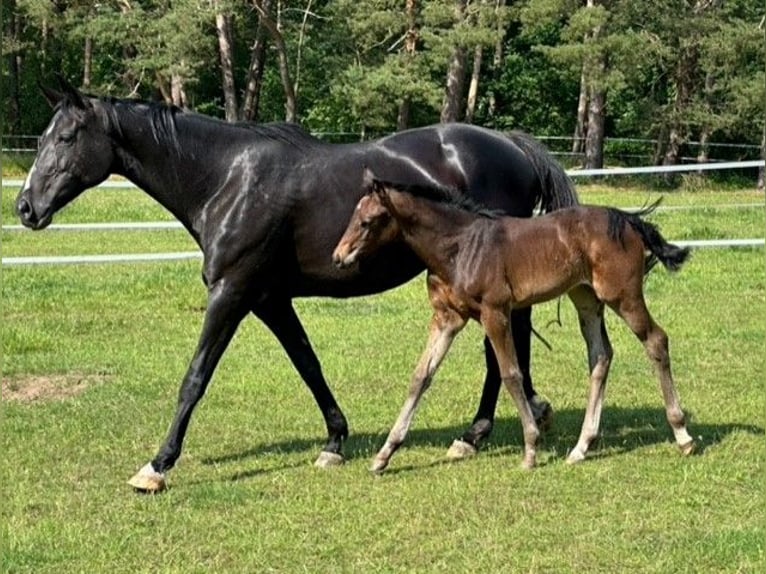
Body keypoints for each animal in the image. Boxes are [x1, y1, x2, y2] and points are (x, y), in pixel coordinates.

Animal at [15, 76, 577, 492]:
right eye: (41, 139)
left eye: (66, 138)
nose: (25, 208)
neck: (226, 180)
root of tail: (511, 145)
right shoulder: (270, 300)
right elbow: (308, 363)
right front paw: (334, 442)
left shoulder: (231, 294)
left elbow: (195, 378)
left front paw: (156, 466)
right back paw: (517, 417)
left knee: (501, 351)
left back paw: (475, 434)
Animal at [333, 173, 695, 472]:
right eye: (353, 216)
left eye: (367, 221)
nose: (339, 257)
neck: (460, 246)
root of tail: (628, 220)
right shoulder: (447, 318)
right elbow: (421, 376)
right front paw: (384, 455)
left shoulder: (495, 313)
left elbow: (510, 373)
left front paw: (531, 449)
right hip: (586, 299)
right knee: (601, 356)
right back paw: (581, 448)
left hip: (622, 296)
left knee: (656, 340)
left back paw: (683, 435)